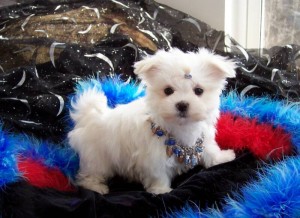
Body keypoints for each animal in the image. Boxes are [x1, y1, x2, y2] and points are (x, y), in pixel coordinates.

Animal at [68, 47, 237, 194]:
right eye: (168, 90)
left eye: (199, 91)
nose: (182, 104)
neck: (180, 126)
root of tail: (91, 117)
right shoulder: (153, 158)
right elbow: (158, 174)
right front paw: (161, 190)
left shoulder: (202, 138)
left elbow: (210, 151)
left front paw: (222, 158)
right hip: (97, 157)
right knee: (90, 174)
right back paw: (96, 187)